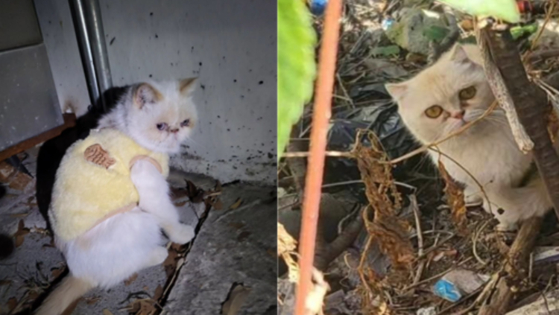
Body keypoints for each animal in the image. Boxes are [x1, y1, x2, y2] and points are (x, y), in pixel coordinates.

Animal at [36, 79, 199, 315]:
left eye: (185, 122)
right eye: (160, 126)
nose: (176, 131)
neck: (128, 131)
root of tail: (77, 270)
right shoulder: (148, 184)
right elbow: (168, 215)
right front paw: (182, 234)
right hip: (136, 219)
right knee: (117, 271)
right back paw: (157, 253)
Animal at [384, 44, 552, 232]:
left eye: (467, 93)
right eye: (433, 111)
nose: (458, 114)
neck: (476, 144)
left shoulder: (515, 171)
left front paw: (504, 220)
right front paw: (477, 196)